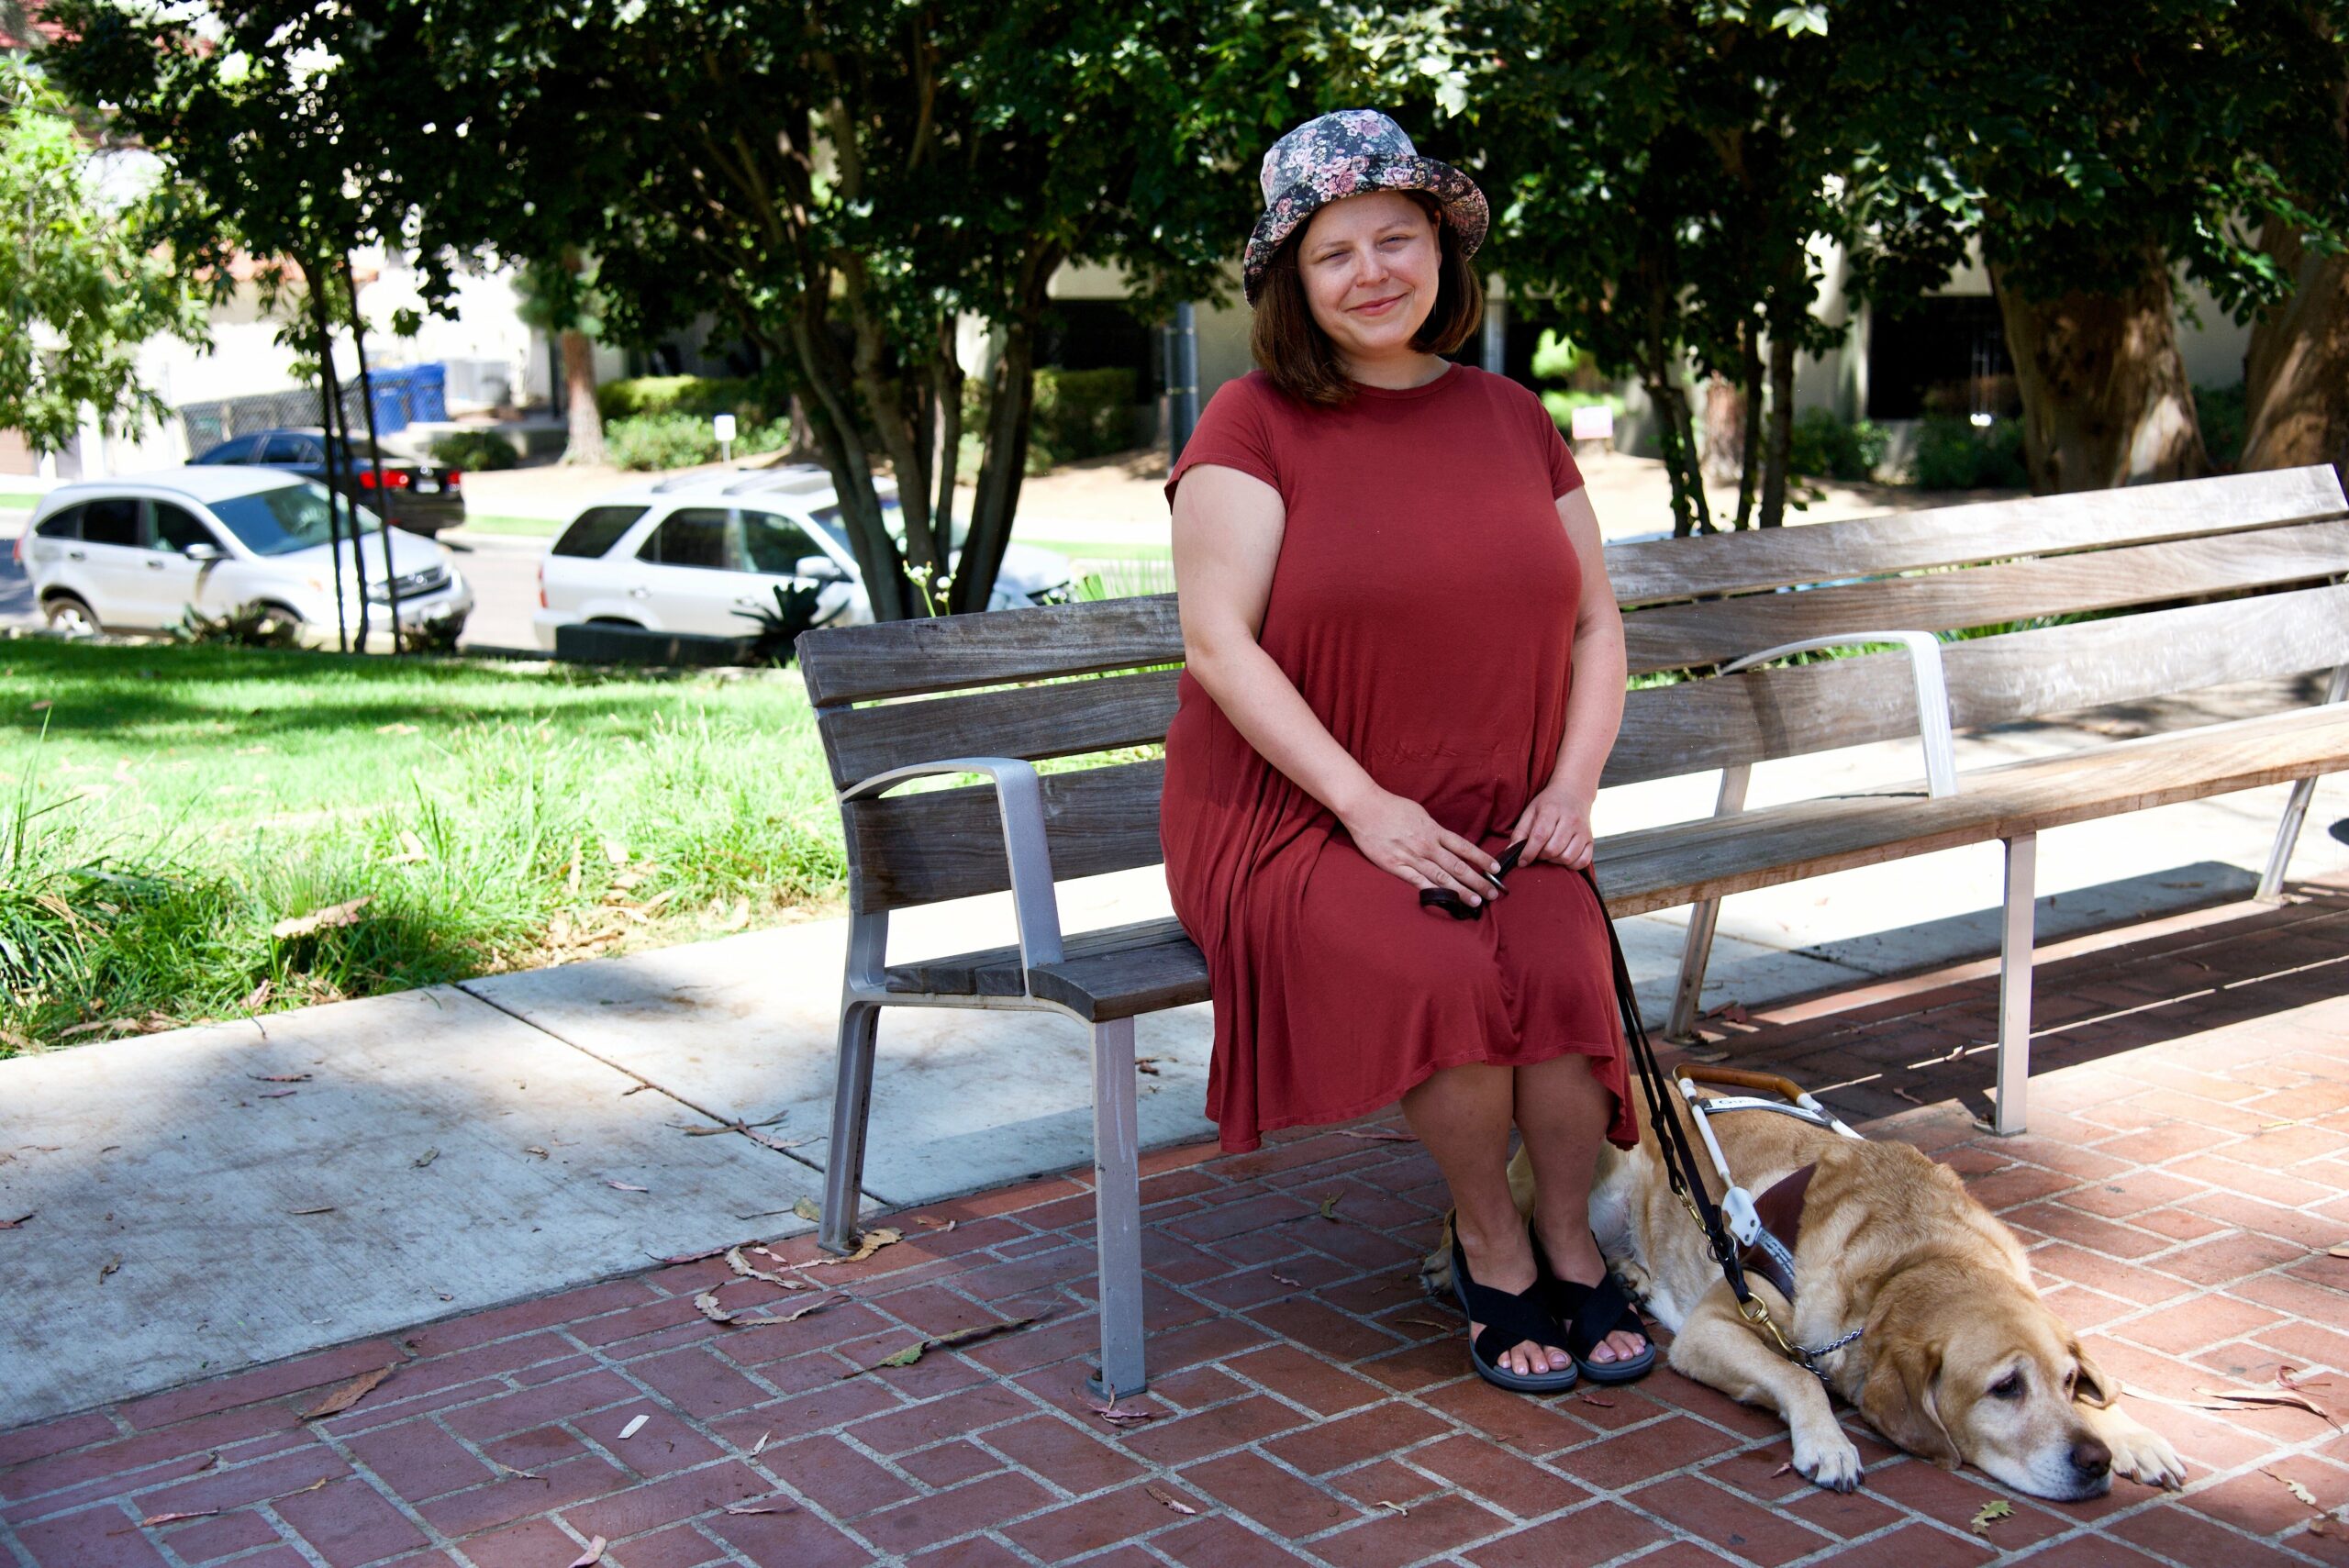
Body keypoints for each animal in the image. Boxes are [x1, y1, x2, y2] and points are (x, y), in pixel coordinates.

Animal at [1428, 1070, 2179, 1502]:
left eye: (2066, 1380)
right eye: (2004, 1388)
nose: (2093, 1462)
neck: (1912, 1260)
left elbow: (2106, 1387)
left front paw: (2131, 1433)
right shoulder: (1713, 1327)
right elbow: (1798, 1376)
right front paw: (1828, 1443)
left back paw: (1630, 1275)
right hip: (1579, 1173)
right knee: (1478, 1221)